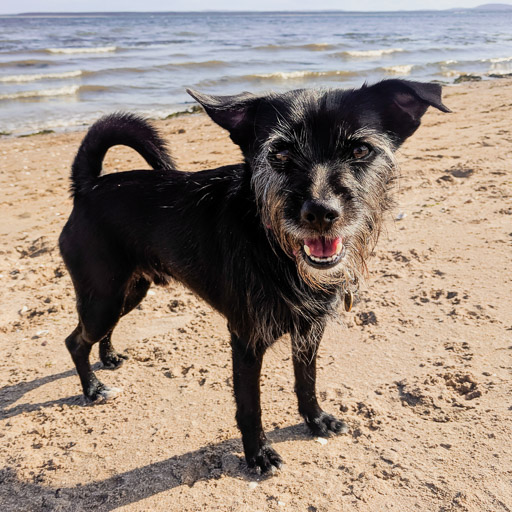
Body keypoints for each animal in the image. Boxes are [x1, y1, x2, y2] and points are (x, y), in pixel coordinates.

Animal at [59, 78, 448, 474]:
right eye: (279, 154)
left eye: (360, 149)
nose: (321, 213)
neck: (274, 249)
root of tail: (88, 188)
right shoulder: (246, 342)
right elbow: (250, 405)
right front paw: (257, 454)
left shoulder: (309, 332)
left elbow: (306, 382)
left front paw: (316, 419)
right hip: (103, 298)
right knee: (75, 341)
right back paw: (93, 388)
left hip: (129, 291)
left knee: (99, 332)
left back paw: (108, 357)